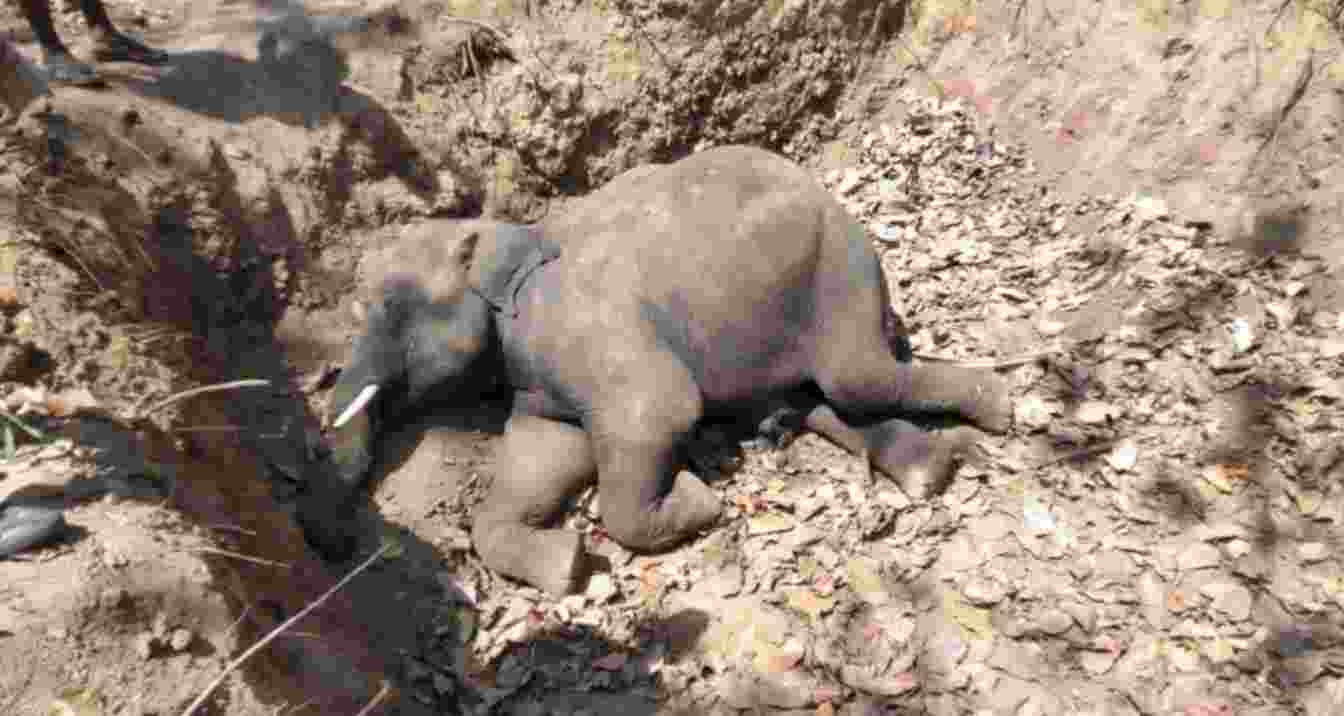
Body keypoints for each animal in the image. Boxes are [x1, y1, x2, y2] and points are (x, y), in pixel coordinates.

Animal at [297, 145, 1013, 595]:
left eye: (390, 304)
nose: (333, 545)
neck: (508, 230)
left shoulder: (590, 327)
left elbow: (659, 412)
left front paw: (698, 496)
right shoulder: (539, 377)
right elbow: (544, 457)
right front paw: (567, 567)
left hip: (839, 258)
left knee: (857, 378)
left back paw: (998, 404)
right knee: (821, 399)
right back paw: (925, 471)